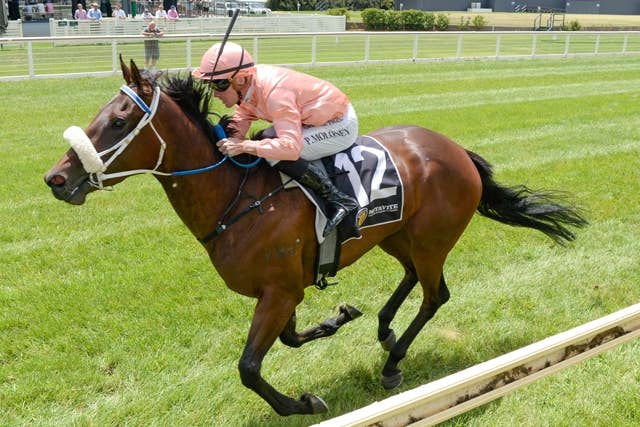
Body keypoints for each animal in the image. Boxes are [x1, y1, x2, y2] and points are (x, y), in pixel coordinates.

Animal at [44, 59, 588, 416]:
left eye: (118, 121)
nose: (56, 179)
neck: (235, 198)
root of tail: (457, 150)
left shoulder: (280, 290)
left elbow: (249, 367)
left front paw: (303, 402)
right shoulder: (283, 288)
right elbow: (289, 337)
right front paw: (338, 318)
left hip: (433, 238)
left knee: (436, 294)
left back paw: (392, 362)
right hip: (394, 233)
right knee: (412, 277)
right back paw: (385, 328)